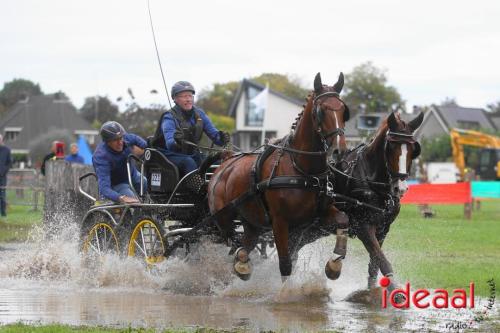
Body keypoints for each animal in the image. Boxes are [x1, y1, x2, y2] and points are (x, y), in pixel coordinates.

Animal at [205, 72, 350, 280]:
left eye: (344, 110)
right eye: (321, 110)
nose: (340, 151)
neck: (302, 171)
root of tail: (224, 163)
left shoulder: (320, 213)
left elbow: (343, 219)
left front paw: (334, 264)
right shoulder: (280, 223)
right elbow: (286, 264)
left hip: (251, 220)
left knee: (244, 245)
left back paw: (242, 264)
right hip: (224, 220)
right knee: (231, 242)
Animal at [330, 110, 424, 292]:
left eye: (412, 150)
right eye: (391, 147)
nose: (400, 188)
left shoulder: (383, 228)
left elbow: (374, 263)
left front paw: (372, 290)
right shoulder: (363, 226)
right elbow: (381, 259)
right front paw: (395, 289)